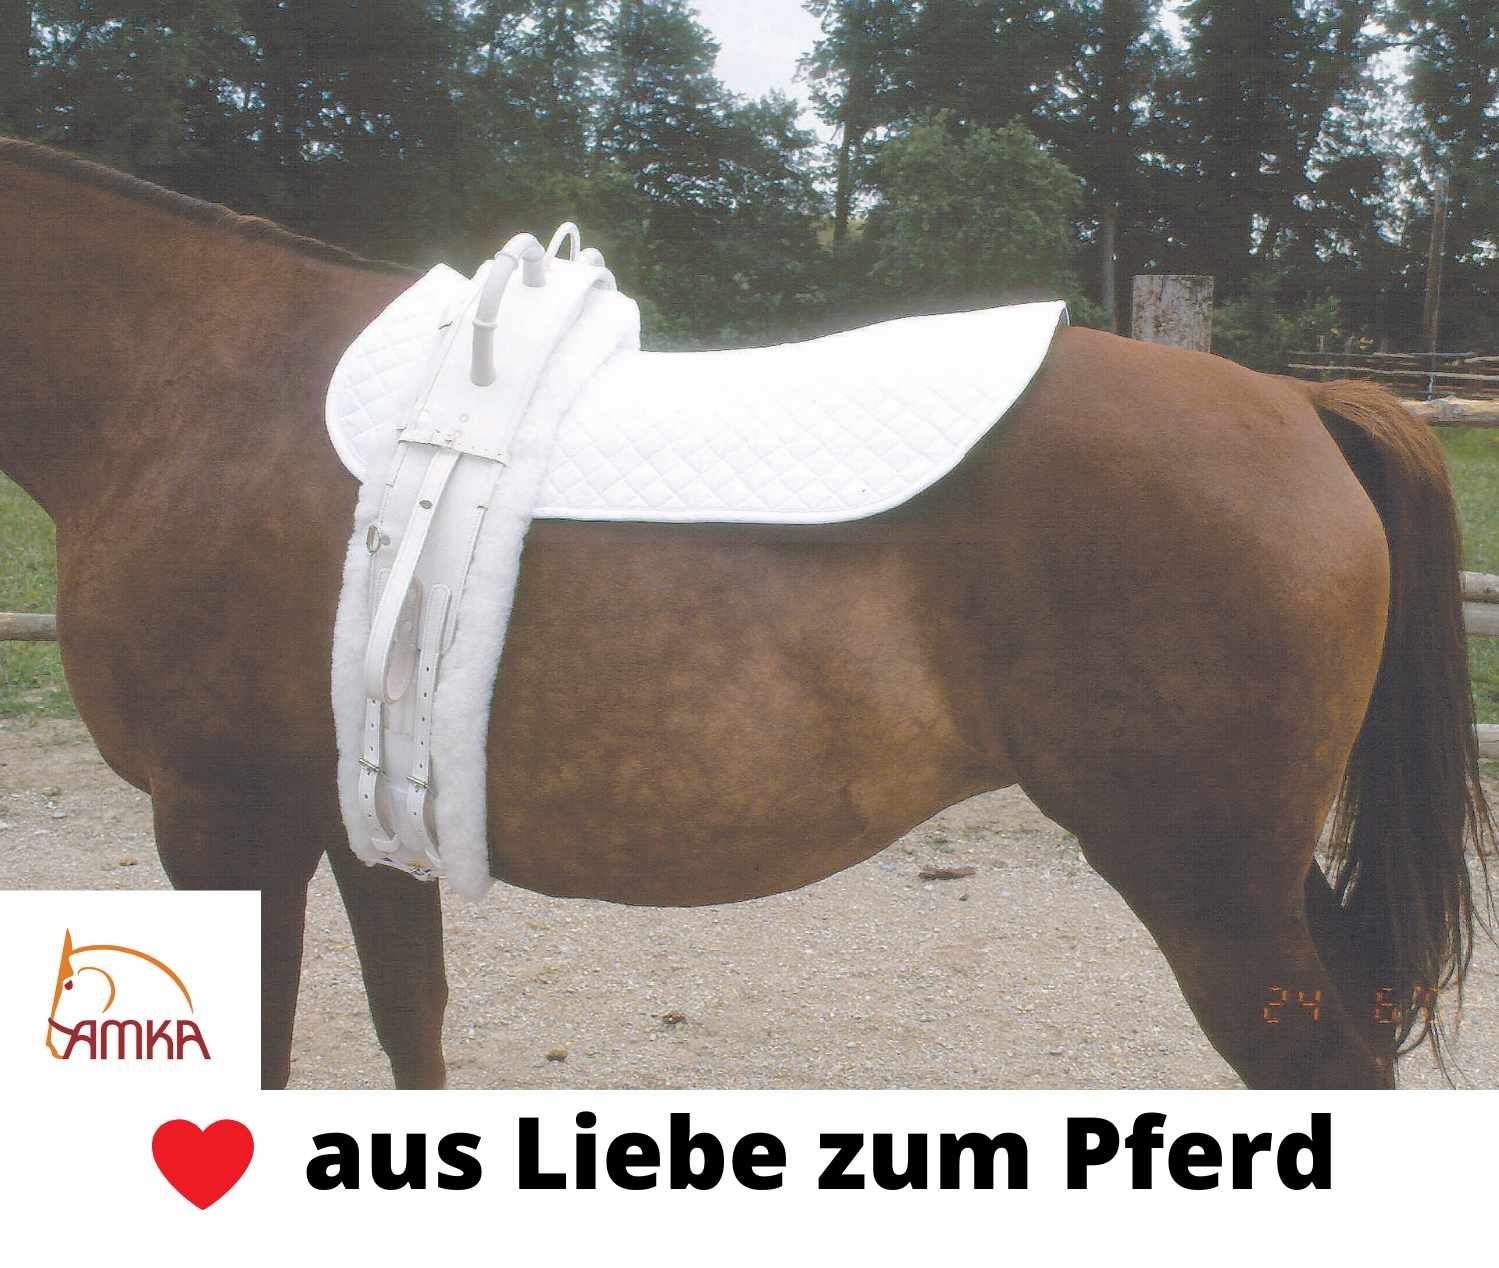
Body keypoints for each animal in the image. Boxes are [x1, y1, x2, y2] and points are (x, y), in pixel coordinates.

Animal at [2, 137, 1492, 1089]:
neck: (187, 380)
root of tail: (1297, 401)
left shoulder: (221, 818)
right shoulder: (359, 823)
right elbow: (408, 1027)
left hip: (1206, 883)